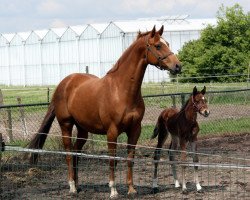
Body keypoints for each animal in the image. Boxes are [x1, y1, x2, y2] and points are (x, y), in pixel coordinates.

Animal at [28, 25, 182, 198]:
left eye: (167, 43)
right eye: (158, 46)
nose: (178, 66)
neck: (121, 90)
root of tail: (64, 84)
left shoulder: (135, 130)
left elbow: (130, 158)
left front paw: (131, 189)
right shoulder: (112, 132)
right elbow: (112, 159)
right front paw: (113, 190)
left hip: (83, 130)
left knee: (76, 152)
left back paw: (78, 185)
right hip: (66, 125)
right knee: (68, 153)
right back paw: (72, 186)